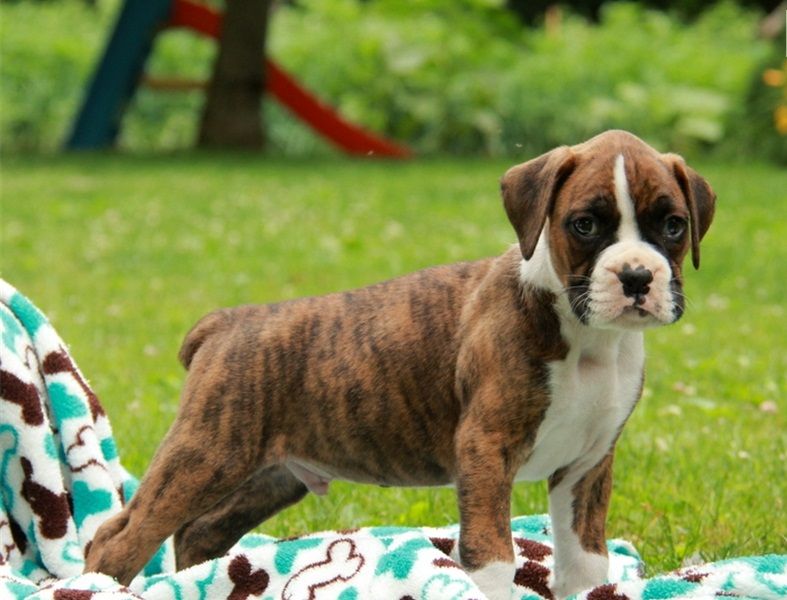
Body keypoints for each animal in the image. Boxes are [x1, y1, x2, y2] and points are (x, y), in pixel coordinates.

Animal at [85, 130, 715, 599]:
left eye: (673, 225)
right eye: (585, 224)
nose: (636, 277)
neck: (585, 336)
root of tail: (226, 322)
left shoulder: (586, 464)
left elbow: (585, 562)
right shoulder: (486, 449)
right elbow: (492, 557)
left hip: (271, 475)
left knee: (200, 534)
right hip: (207, 454)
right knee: (119, 538)